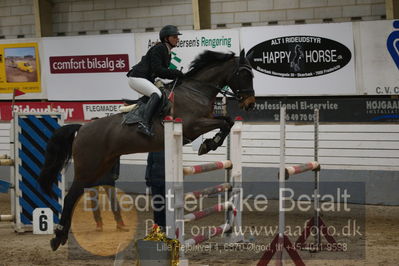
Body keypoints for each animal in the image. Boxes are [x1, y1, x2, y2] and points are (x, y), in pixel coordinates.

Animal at [38, 48, 256, 250]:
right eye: (244, 75)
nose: (250, 104)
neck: (196, 90)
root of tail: (81, 128)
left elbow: (227, 121)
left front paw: (211, 143)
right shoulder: (192, 126)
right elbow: (224, 122)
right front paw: (209, 144)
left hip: (100, 167)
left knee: (80, 194)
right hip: (88, 168)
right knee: (70, 196)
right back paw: (57, 237)